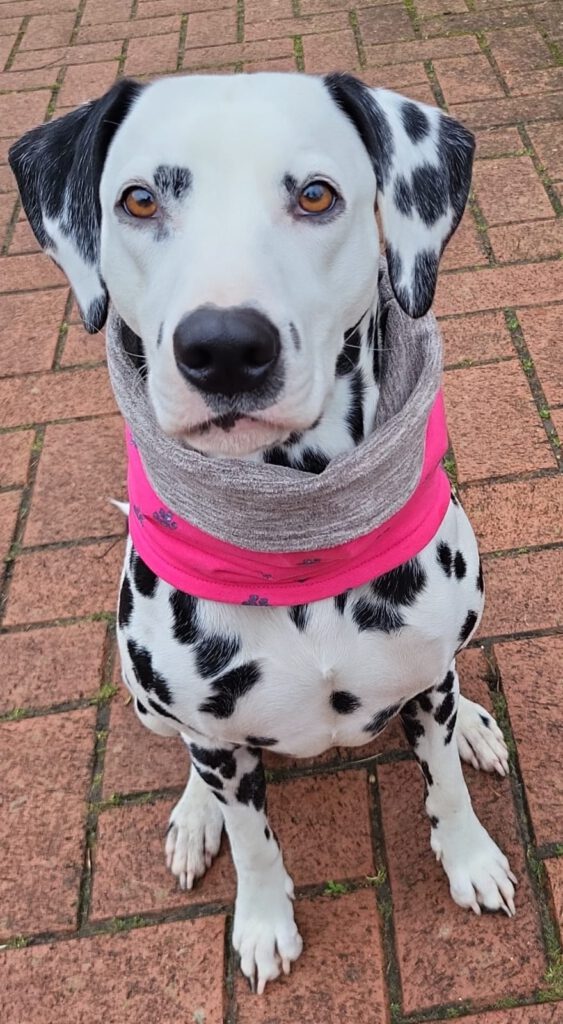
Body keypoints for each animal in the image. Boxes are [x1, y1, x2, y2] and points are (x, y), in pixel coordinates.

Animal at [10, 71, 516, 995]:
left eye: (315, 195)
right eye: (138, 201)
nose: (222, 348)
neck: (296, 544)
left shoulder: (425, 679)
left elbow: (445, 786)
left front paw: (470, 858)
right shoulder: (213, 738)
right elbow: (252, 841)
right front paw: (261, 920)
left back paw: (476, 726)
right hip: (143, 696)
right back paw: (191, 820)